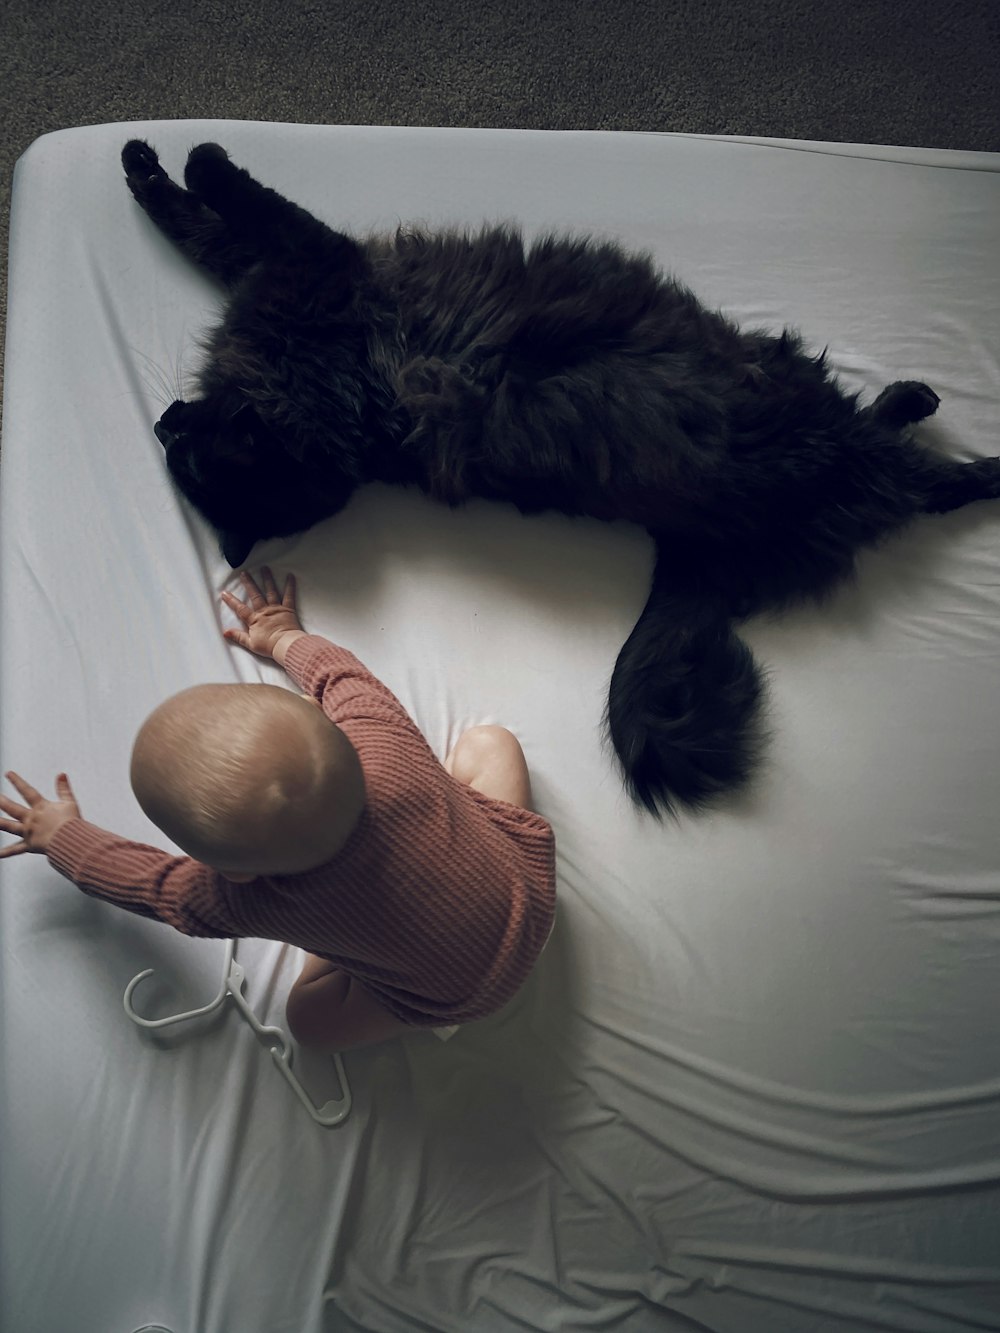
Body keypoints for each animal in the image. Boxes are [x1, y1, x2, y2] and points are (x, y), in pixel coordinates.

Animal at [121, 140, 997, 815]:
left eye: (184, 451)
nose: (159, 425)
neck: (341, 411)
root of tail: (698, 538)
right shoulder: (311, 261)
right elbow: (230, 203)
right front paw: (182, 158)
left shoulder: (293, 266)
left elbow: (210, 221)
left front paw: (152, 163)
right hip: (818, 426)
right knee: (921, 480)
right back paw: (964, 448)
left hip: (790, 392)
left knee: (889, 442)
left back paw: (912, 400)